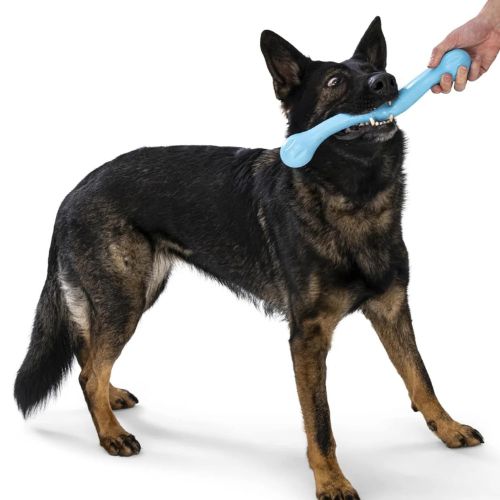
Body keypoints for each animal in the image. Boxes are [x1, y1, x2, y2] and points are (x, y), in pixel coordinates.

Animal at [15, 17, 483, 499]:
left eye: (373, 69)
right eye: (335, 81)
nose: (386, 82)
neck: (354, 196)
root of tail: (73, 191)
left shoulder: (392, 311)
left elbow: (420, 376)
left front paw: (447, 428)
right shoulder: (309, 338)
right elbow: (320, 422)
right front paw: (331, 480)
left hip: (139, 292)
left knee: (90, 359)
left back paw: (110, 400)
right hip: (125, 300)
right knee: (90, 370)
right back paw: (110, 433)